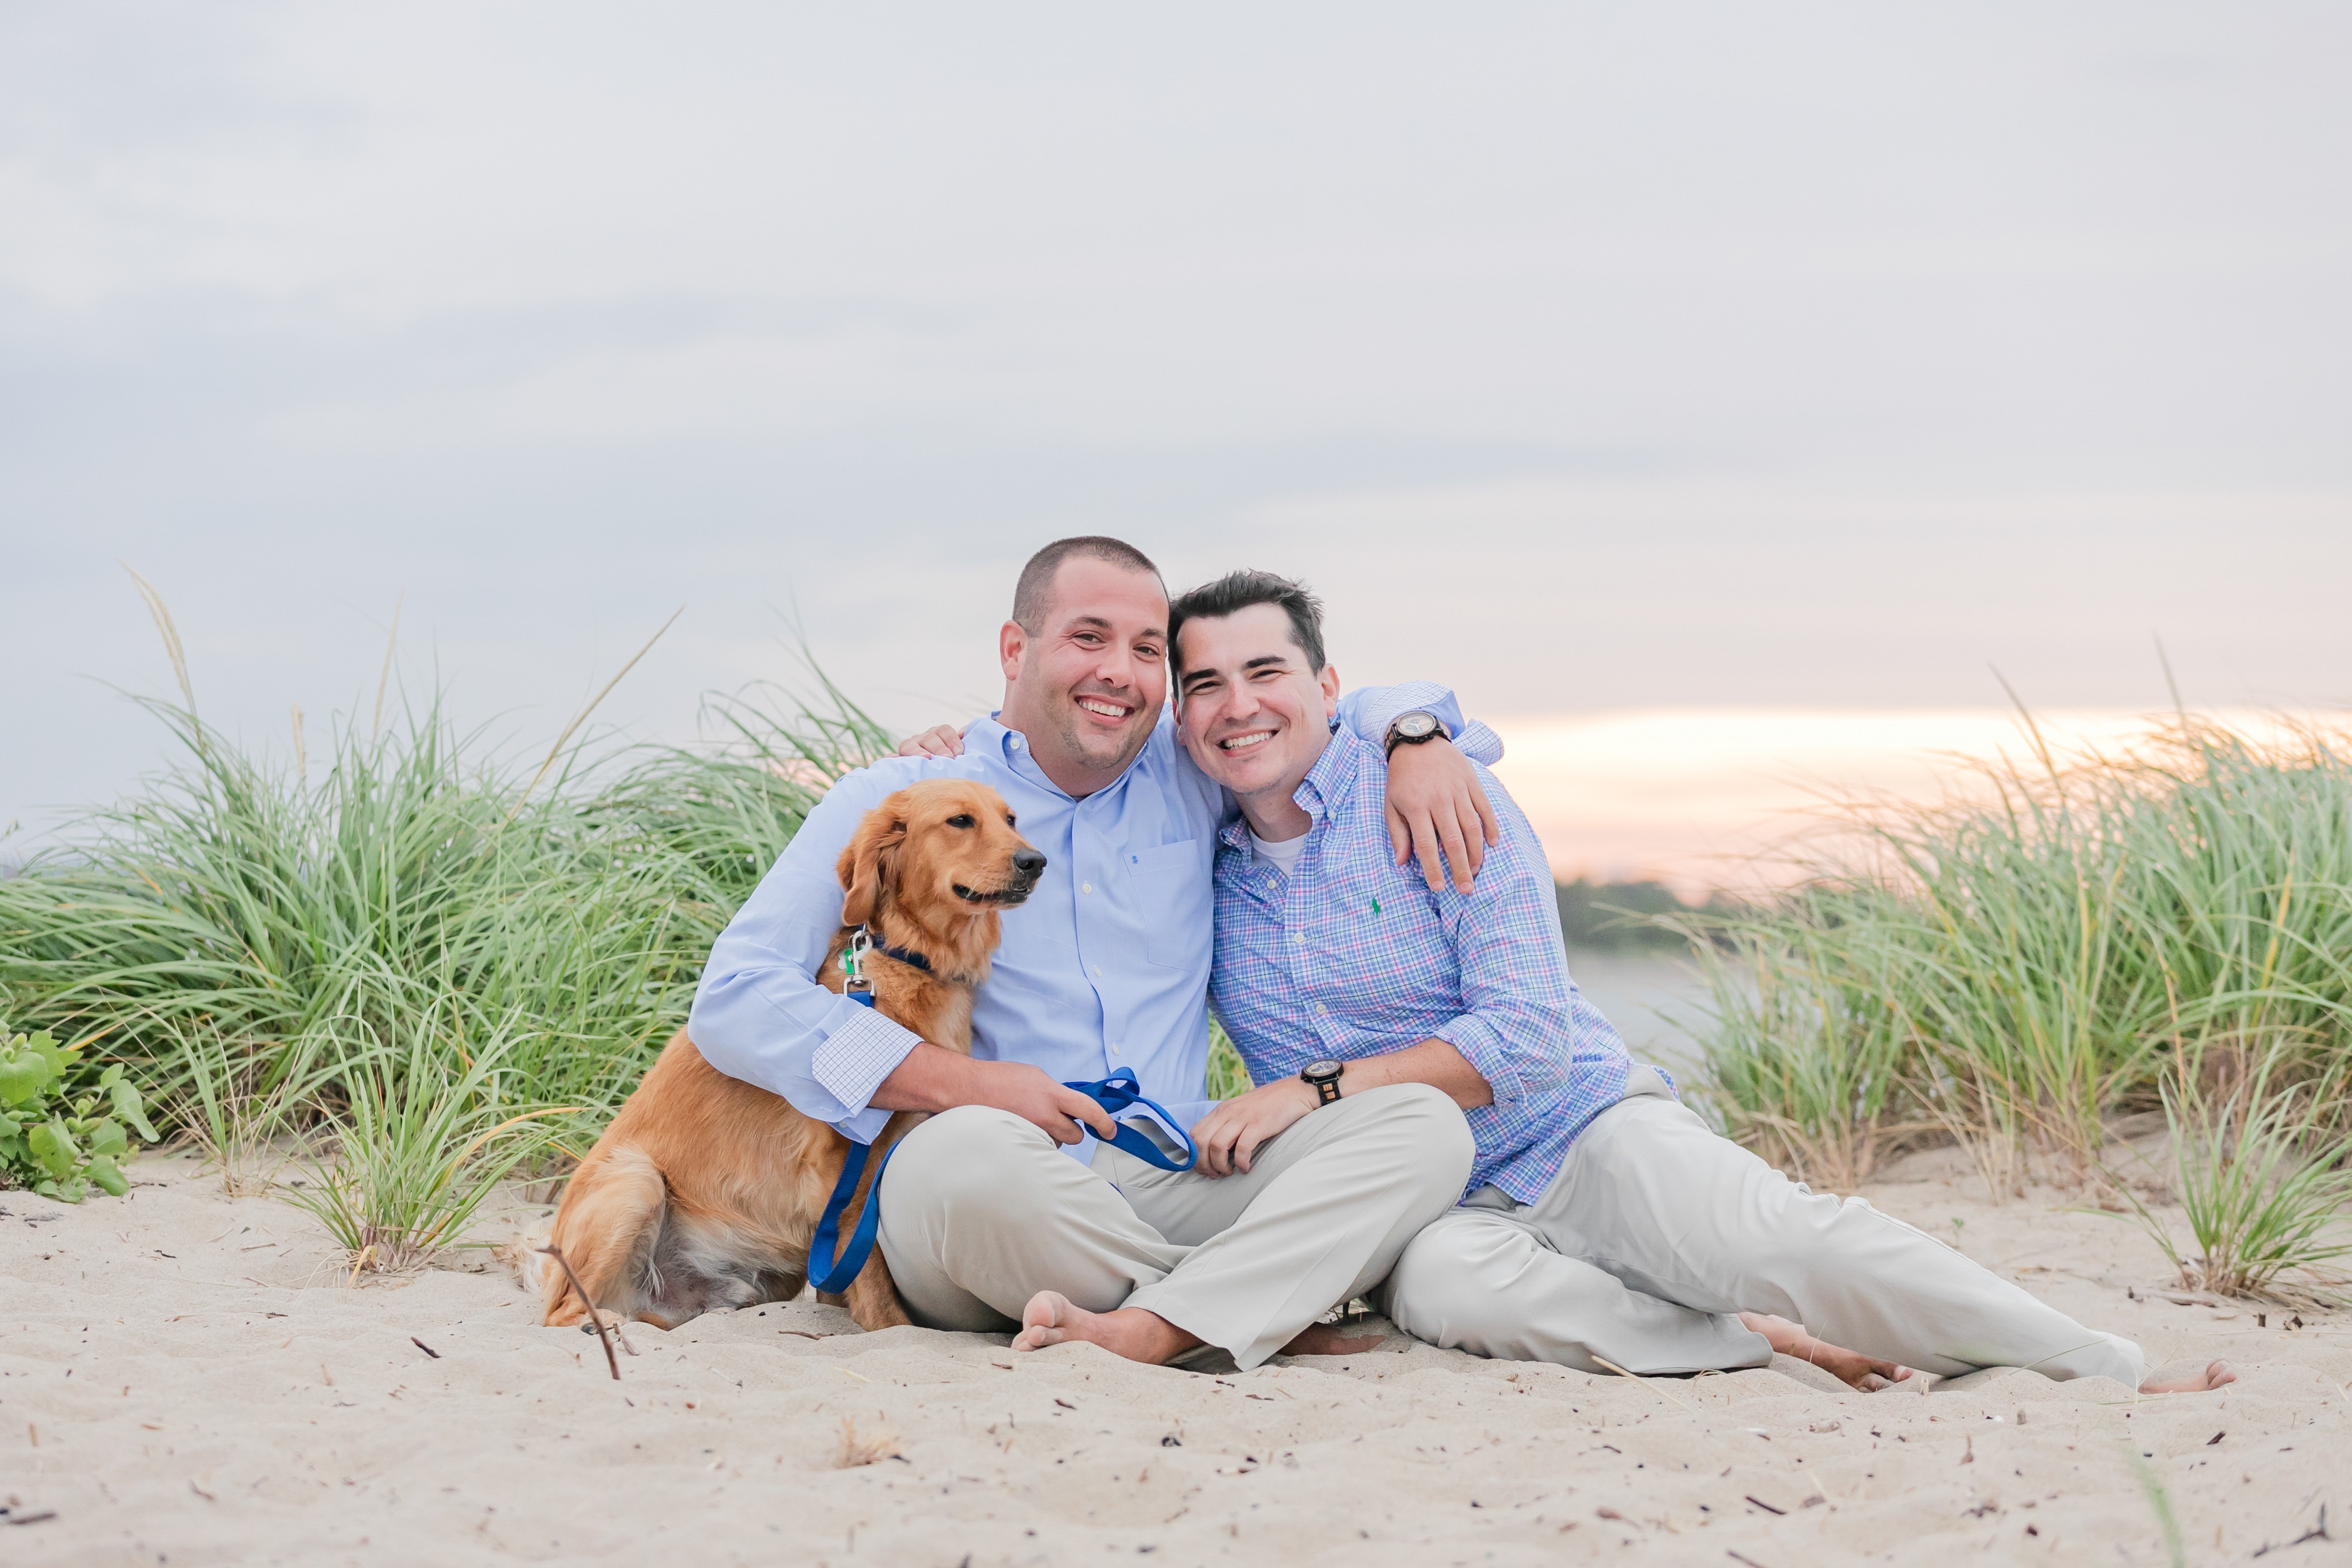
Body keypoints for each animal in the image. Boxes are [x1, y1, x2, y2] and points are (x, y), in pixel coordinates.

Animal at [538, 785, 1053, 1335]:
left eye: (1011, 819)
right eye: (960, 821)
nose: (1035, 861)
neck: (909, 960)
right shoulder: (838, 1164)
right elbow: (865, 1264)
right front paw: (888, 1325)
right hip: (635, 1181)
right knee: (563, 1313)